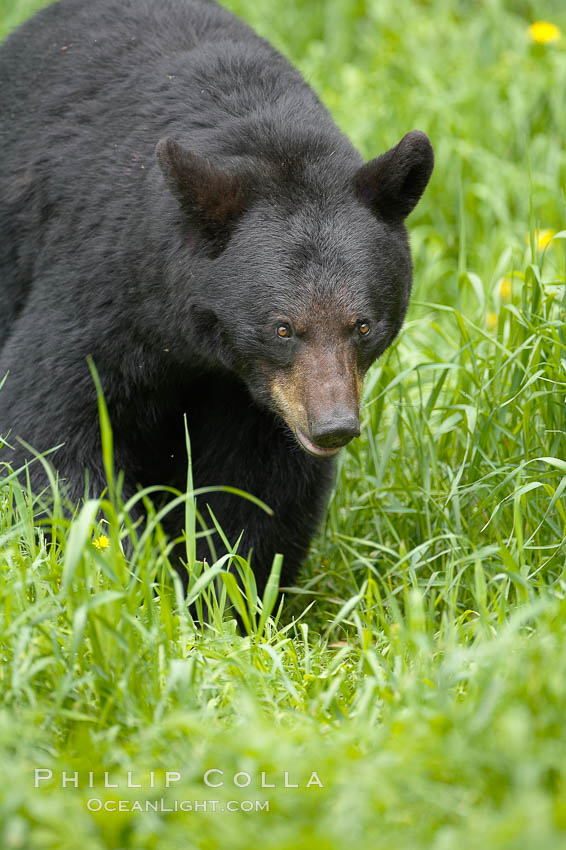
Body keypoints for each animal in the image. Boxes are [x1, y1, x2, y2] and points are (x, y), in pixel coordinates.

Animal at [0, 0, 434, 588]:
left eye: (363, 325)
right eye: (282, 327)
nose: (333, 427)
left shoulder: (260, 400)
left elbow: (259, 486)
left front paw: (228, 584)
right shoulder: (103, 287)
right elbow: (49, 428)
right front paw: (131, 573)